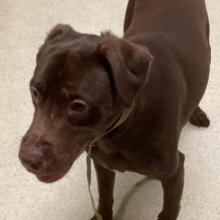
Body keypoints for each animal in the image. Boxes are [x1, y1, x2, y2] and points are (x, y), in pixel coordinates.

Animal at [19, 0, 211, 220]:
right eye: (34, 92)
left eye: (78, 105)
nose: (27, 160)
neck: (118, 132)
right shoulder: (102, 164)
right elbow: (105, 196)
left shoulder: (174, 171)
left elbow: (169, 209)